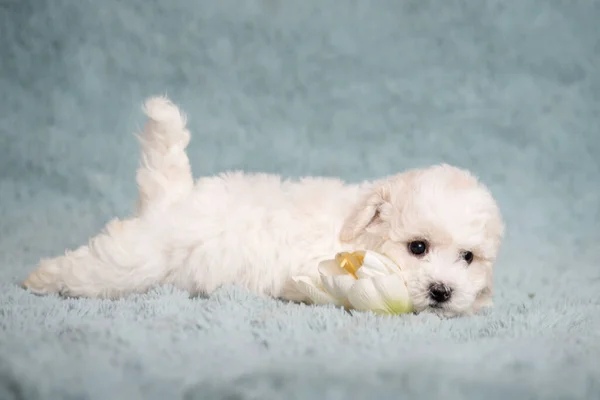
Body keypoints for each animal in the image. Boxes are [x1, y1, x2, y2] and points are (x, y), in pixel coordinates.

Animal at [23, 96, 504, 316]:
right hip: (137, 259)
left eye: (468, 257)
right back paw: (41, 278)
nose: (442, 291)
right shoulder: (325, 271)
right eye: (417, 247)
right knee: (93, 269)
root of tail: (177, 196)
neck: (359, 235)